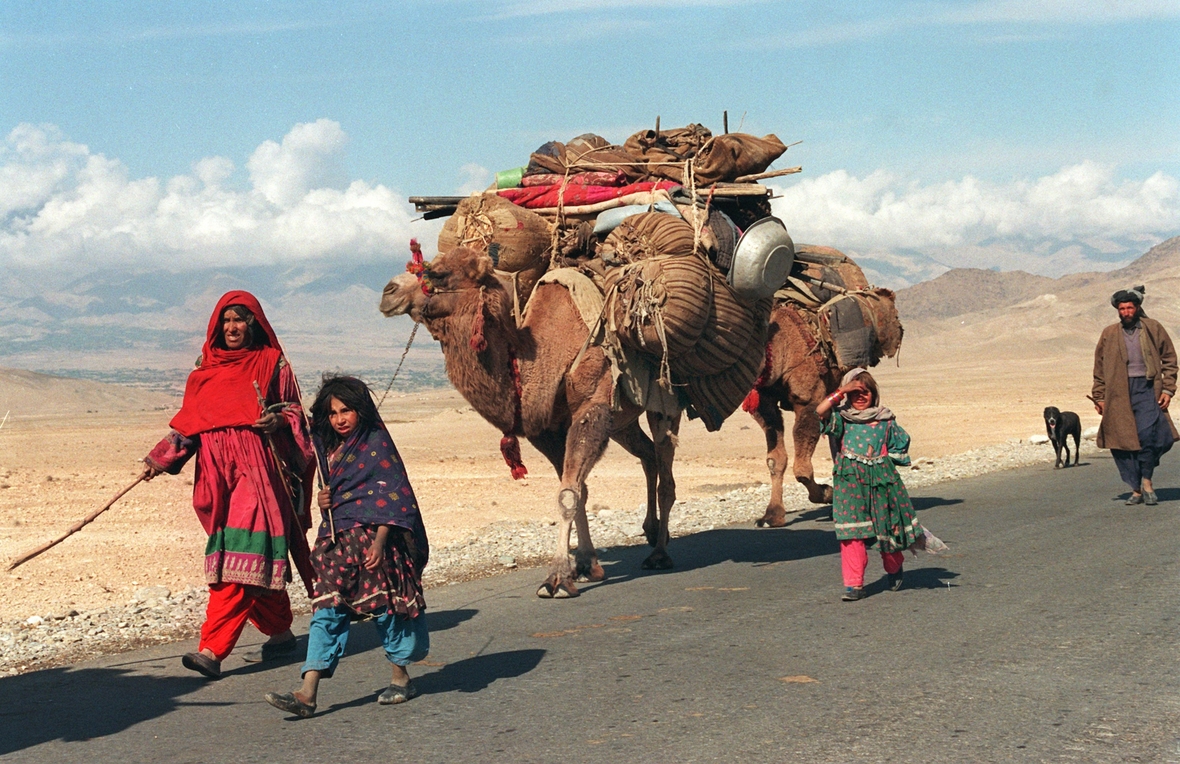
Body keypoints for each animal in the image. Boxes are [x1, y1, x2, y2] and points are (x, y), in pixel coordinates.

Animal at [382, 247, 679, 599]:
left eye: (438, 273)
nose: (388, 292)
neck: (545, 355)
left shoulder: (593, 406)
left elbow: (568, 494)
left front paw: (557, 579)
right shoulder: (548, 431)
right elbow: (578, 491)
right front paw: (586, 565)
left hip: (664, 398)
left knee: (665, 467)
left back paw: (659, 553)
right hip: (622, 423)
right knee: (648, 456)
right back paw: (651, 531)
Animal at [745, 247, 901, 529]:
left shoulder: (808, 400)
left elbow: (801, 468)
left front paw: (827, 494)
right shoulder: (763, 403)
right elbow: (775, 460)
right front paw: (772, 515)